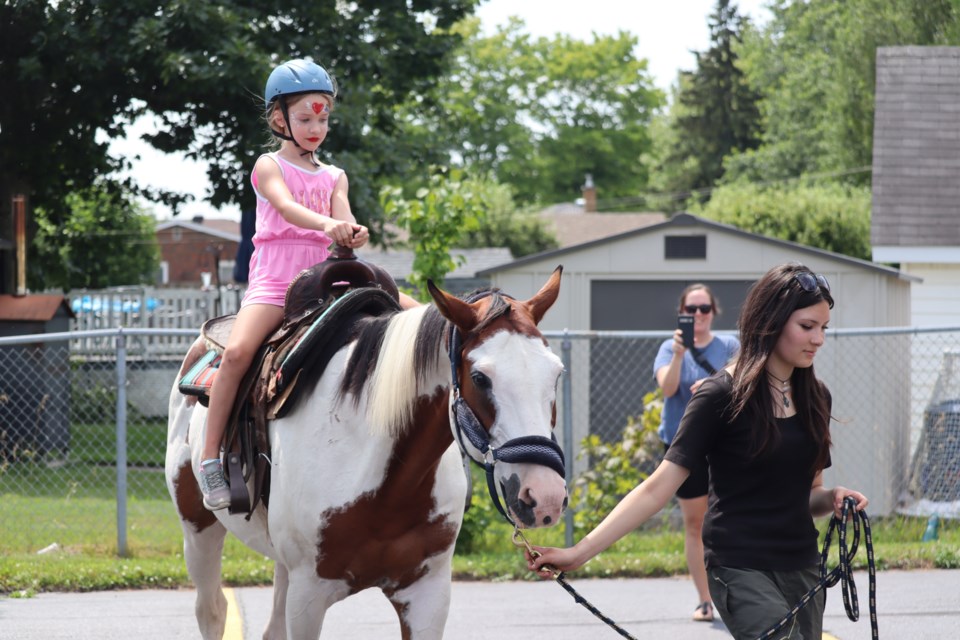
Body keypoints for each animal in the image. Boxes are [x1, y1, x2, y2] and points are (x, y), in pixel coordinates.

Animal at [165, 268, 568, 636]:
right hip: (198, 530)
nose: (544, 497)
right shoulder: (307, 598)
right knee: (212, 610)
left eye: (557, 373)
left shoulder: (427, 595)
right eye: (481, 378)